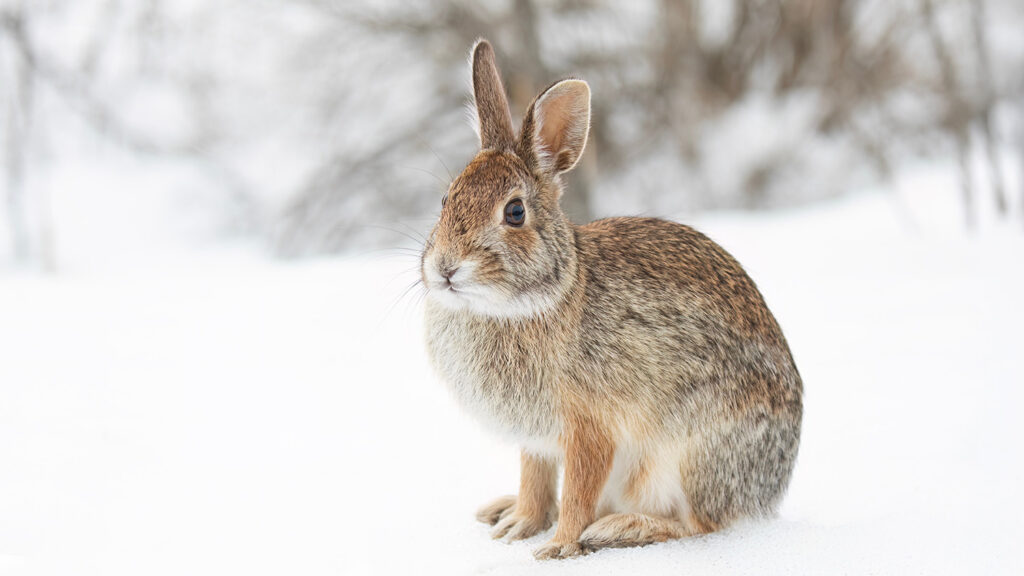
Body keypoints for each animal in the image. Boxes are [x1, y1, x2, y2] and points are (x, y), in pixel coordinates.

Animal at [419, 39, 802, 557]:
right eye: (446, 200)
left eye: (515, 212)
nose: (444, 268)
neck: (533, 300)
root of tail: (771, 488)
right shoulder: (537, 440)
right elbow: (534, 479)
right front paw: (520, 524)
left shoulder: (589, 427)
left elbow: (579, 490)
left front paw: (557, 548)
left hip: (690, 456)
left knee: (700, 525)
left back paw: (619, 528)